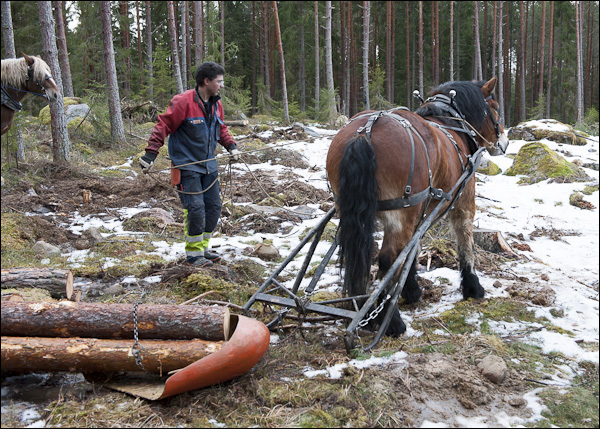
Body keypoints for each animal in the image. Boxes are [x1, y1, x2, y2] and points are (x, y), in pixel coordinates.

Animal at [326, 78, 508, 336]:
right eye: (495, 108)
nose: (504, 142)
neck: (453, 126)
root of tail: (365, 134)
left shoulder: (420, 213)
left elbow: (412, 249)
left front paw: (411, 290)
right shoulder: (464, 200)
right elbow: (465, 243)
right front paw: (473, 288)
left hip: (353, 212)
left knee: (361, 254)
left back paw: (363, 311)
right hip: (400, 212)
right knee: (387, 259)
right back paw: (391, 321)